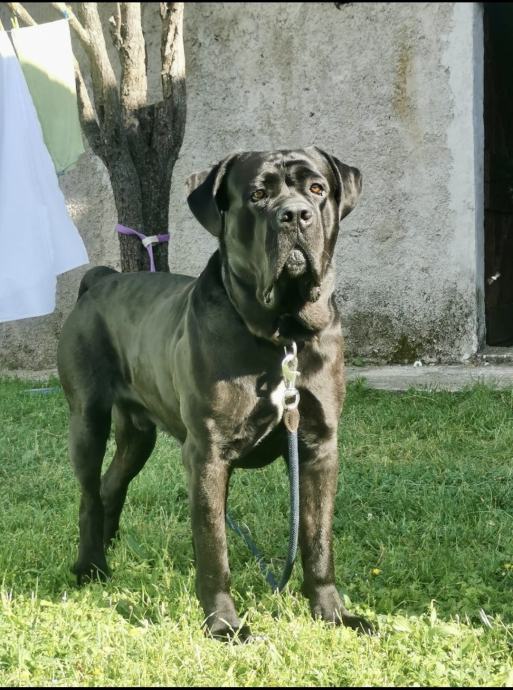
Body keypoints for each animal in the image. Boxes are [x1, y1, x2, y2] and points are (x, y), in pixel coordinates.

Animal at [56, 146, 370, 640]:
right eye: (257, 195)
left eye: (317, 188)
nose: (295, 214)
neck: (283, 336)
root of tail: (100, 279)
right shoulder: (207, 454)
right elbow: (213, 548)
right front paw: (224, 626)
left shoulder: (319, 447)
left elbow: (318, 539)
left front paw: (333, 614)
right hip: (87, 417)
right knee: (89, 491)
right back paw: (91, 566)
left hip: (137, 433)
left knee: (111, 483)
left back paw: (108, 547)